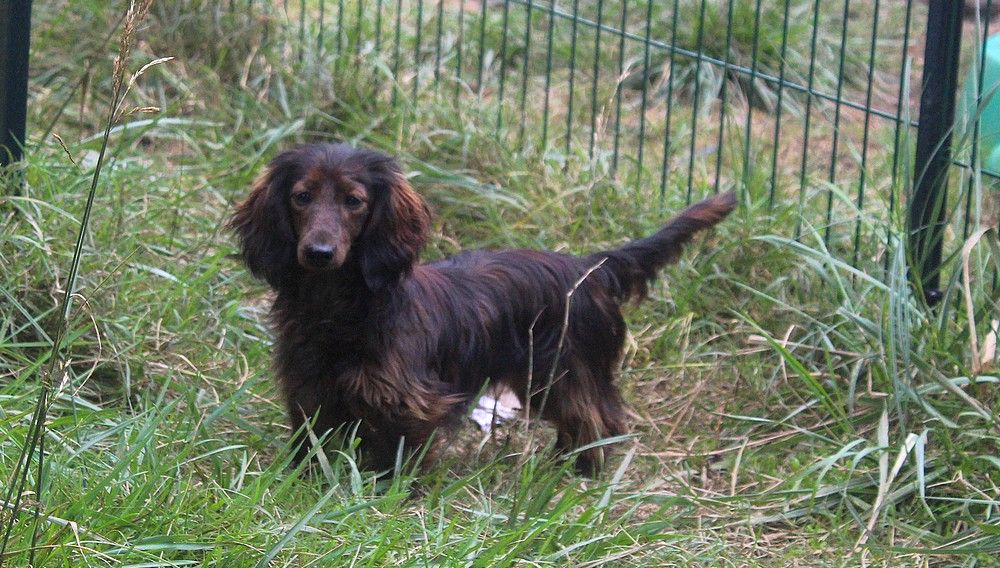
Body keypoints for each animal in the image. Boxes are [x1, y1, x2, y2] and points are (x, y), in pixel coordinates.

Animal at [232, 143, 736, 474]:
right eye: (301, 196)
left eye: (354, 201)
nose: (318, 252)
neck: (336, 307)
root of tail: (588, 267)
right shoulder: (309, 389)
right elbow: (312, 443)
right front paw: (304, 480)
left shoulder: (408, 400)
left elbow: (398, 452)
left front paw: (390, 491)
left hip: (564, 372)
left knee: (598, 417)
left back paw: (578, 470)